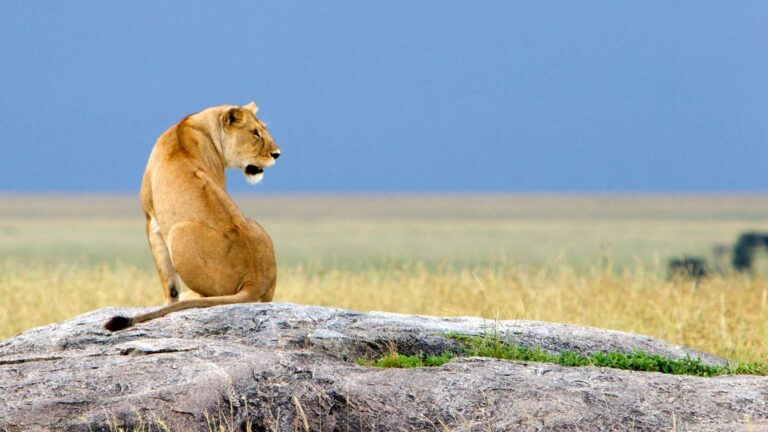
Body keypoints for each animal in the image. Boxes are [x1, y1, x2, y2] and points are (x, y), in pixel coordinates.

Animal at [104, 102, 281, 331]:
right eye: (255, 132)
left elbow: (167, 278)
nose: (277, 154)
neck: (191, 124)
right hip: (254, 224)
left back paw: (190, 295)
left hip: (178, 230)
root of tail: (254, 280)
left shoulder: (150, 219)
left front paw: (169, 300)